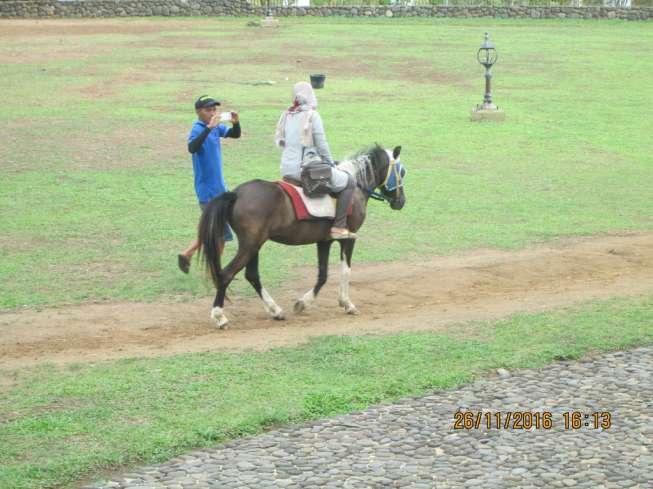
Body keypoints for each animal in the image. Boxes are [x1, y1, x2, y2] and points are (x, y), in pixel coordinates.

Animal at [196, 145, 404, 328]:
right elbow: (345, 271)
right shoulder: (348, 239)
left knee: (252, 275)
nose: (401, 201)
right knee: (226, 274)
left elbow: (322, 275)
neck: (355, 187)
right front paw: (347, 303)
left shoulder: (324, 241)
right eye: (402, 172)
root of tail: (236, 194)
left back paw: (275, 310)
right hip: (251, 245)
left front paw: (303, 303)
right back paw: (219, 316)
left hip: (254, 245)